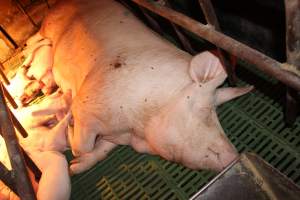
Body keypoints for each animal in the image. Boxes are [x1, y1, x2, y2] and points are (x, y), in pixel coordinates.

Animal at [34, 0, 252, 173]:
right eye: (206, 110)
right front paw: (70, 132)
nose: (233, 156)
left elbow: (103, 147)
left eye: (217, 109)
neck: (138, 127)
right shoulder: (87, 104)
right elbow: (81, 145)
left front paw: (75, 167)